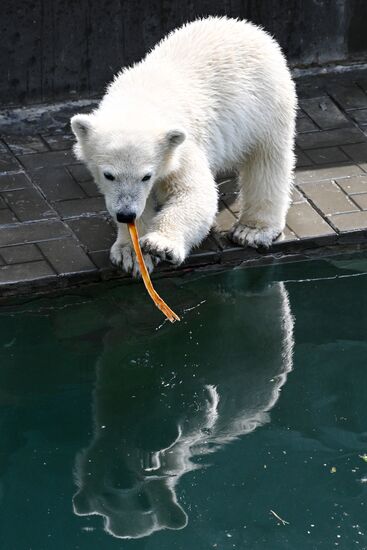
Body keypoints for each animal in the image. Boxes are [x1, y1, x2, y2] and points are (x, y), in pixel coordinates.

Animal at [71, 16, 296, 276]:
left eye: (146, 176)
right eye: (109, 175)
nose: (126, 214)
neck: (139, 100)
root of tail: (247, 27)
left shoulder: (181, 145)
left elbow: (195, 193)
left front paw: (160, 245)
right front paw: (132, 254)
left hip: (264, 106)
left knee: (267, 161)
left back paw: (253, 230)